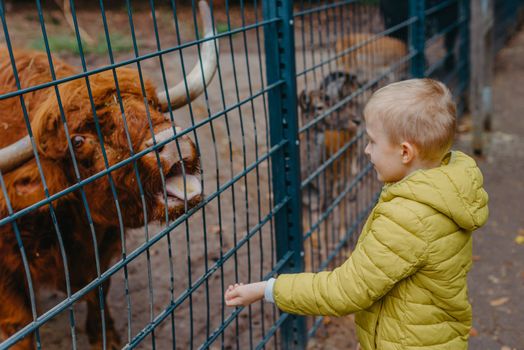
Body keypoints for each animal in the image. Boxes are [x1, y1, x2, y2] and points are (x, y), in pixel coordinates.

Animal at [0, 1, 217, 348]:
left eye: (154, 105)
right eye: (78, 141)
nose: (172, 143)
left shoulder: (104, 246)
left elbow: (99, 291)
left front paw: (107, 338)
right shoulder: (7, 279)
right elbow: (19, 325)